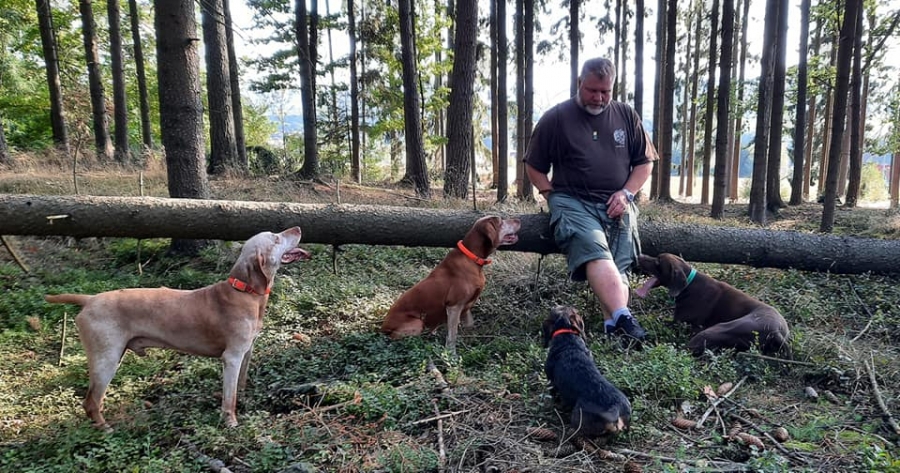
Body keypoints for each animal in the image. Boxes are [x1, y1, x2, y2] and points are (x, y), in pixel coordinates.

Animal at [45, 227, 310, 429]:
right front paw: (231, 422)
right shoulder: (232, 357)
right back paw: (105, 428)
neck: (244, 292)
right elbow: (229, 399)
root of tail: (89, 299)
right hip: (106, 360)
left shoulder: (247, 352)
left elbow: (240, 386)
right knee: (90, 402)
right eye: (276, 238)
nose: (298, 227)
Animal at [380, 215, 521, 351]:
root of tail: (383, 327)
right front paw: (451, 353)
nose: (519, 220)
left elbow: (469, 323)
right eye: (501, 221)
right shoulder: (454, 306)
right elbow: (452, 334)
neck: (472, 258)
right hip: (417, 323)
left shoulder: (466, 305)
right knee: (396, 338)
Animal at [635, 253, 790, 356]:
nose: (639, 255)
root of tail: (776, 333)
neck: (689, 285)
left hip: (716, 329)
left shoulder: (680, 324)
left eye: (658, 262)